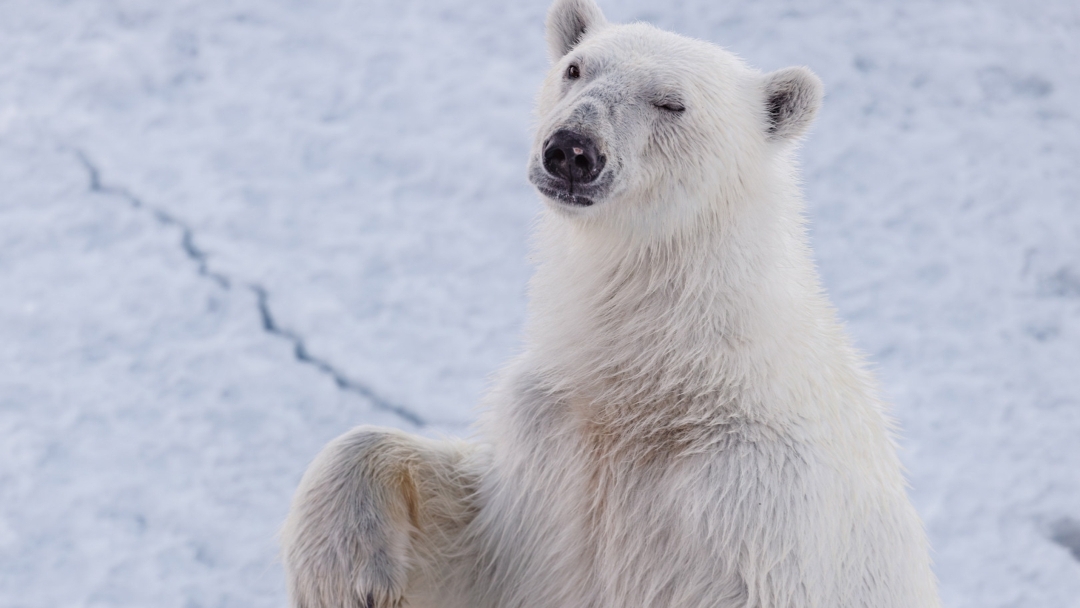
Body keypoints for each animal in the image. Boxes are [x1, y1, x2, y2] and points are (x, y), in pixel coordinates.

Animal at [281, 1, 942, 607]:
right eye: (576, 68)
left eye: (672, 103)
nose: (572, 149)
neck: (664, 380)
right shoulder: (551, 441)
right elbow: (473, 541)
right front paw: (348, 575)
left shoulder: (757, 506)